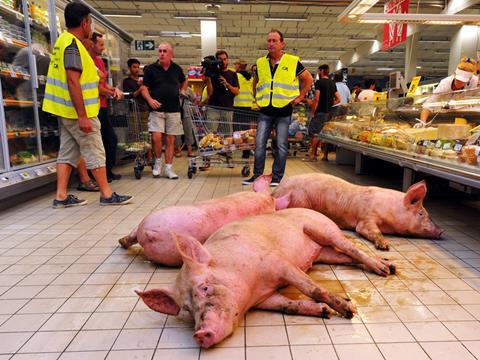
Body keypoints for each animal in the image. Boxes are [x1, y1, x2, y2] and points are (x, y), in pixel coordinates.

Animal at [137, 208, 396, 348]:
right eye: (187, 309)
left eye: (205, 288)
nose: (200, 334)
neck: (253, 290)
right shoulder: (265, 299)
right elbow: (288, 306)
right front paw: (324, 312)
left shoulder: (278, 262)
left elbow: (311, 287)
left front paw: (348, 310)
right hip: (325, 254)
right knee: (348, 256)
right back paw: (389, 266)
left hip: (324, 230)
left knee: (352, 248)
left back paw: (385, 269)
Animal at [272, 174, 444, 250]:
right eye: (421, 213)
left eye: (426, 213)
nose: (441, 231)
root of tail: (276, 191)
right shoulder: (366, 217)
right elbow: (368, 230)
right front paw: (385, 246)